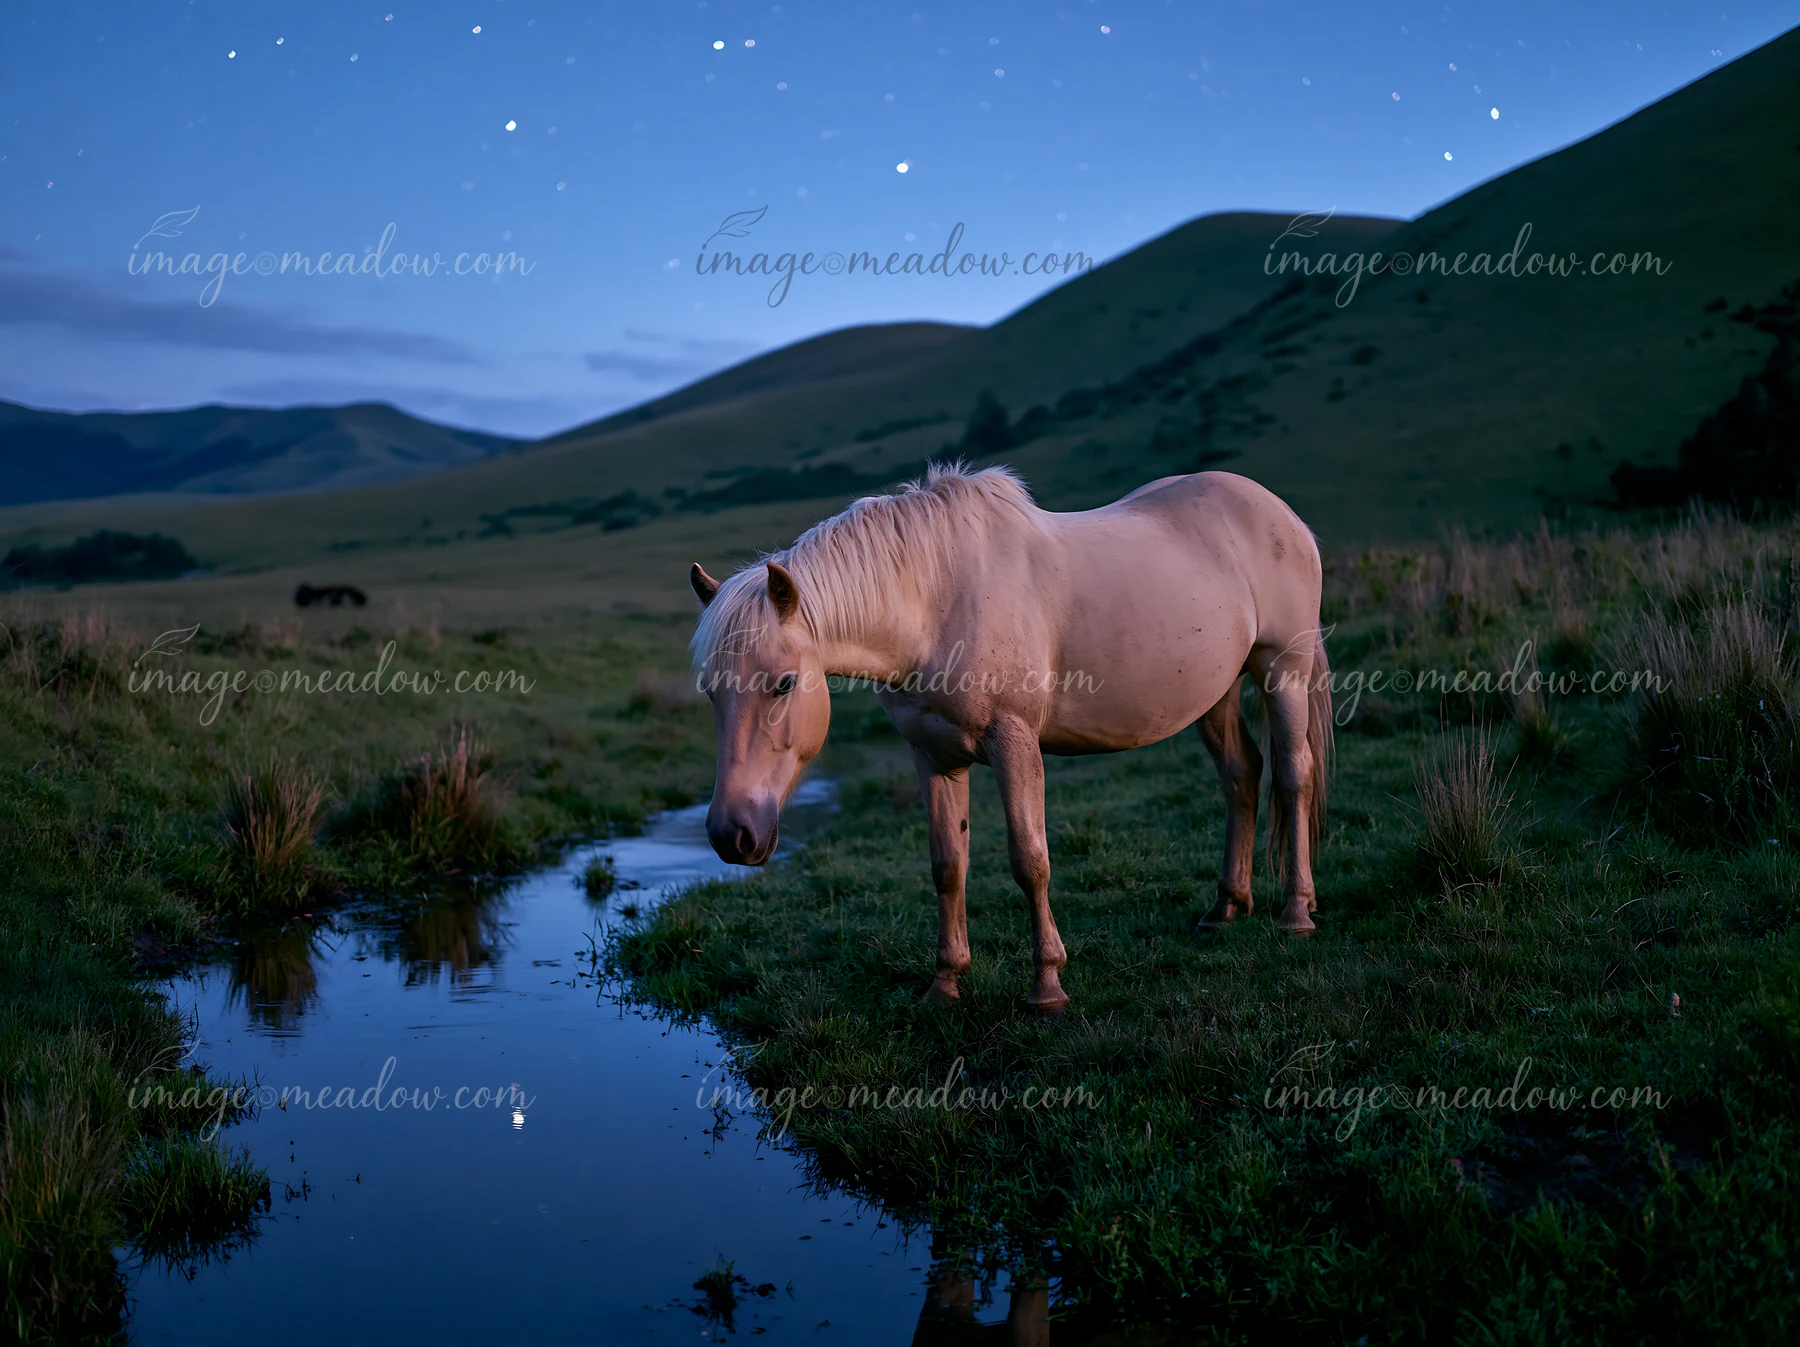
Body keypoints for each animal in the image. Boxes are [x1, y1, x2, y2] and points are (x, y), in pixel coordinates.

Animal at [688, 463, 1332, 1012]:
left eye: (784, 683)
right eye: (710, 693)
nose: (731, 834)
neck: (935, 602)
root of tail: (1282, 514)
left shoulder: (1013, 742)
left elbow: (1030, 861)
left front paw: (1047, 986)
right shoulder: (933, 756)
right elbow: (947, 864)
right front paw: (945, 983)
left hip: (1283, 672)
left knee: (1293, 776)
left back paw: (1296, 914)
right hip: (1216, 693)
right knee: (1241, 776)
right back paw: (1225, 907)